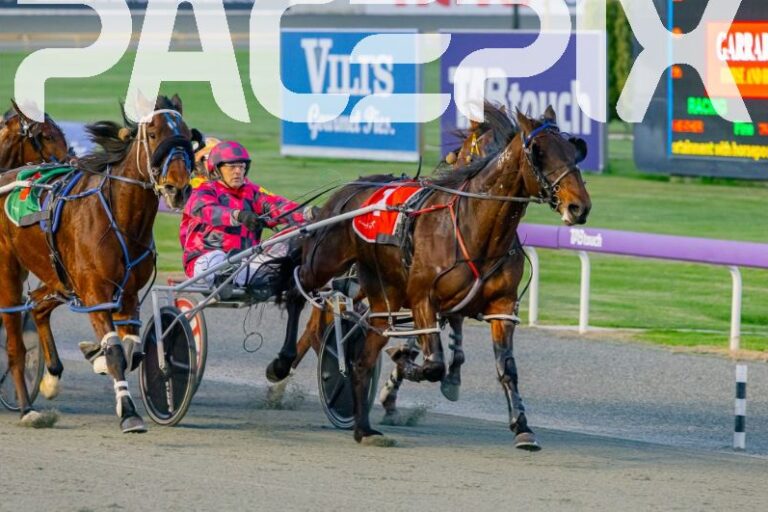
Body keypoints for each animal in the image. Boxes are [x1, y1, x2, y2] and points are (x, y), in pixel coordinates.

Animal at [0, 94, 193, 432]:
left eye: (185, 133)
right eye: (153, 134)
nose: (177, 188)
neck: (121, 216)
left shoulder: (128, 294)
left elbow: (131, 351)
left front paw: (97, 357)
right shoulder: (95, 291)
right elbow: (116, 351)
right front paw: (128, 412)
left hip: (59, 275)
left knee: (37, 305)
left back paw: (51, 376)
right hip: (10, 270)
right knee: (14, 343)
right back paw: (27, 409)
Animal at [272, 105, 591, 448]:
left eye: (573, 149)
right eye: (539, 152)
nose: (579, 206)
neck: (474, 227)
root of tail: (347, 189)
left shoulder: (501, 307)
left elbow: (506, 367)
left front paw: (522, 426)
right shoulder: (423, 299)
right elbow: (433, 363)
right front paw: (407, 367)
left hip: (382, 293)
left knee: (357, 353)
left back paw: (362, 427)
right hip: (325, 262)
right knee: (299, 296)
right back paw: (280, 367)